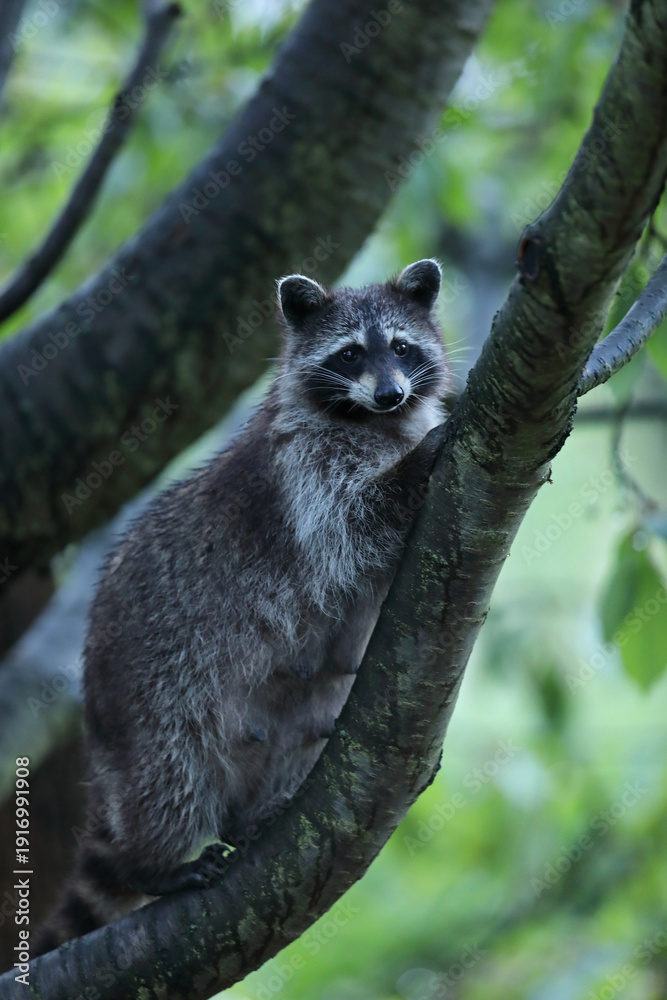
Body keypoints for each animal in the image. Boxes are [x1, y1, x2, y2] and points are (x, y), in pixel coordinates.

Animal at [32, 259, 450, 955]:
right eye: (350, 354)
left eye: (400, 347)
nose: (391, 394)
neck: (370, 422)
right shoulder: (304, 477)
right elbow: (353, 526)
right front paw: (419, 460)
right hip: (151, 696)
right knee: (170, 777)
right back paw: (151, 863)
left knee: (304, 724)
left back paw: (254, 814)